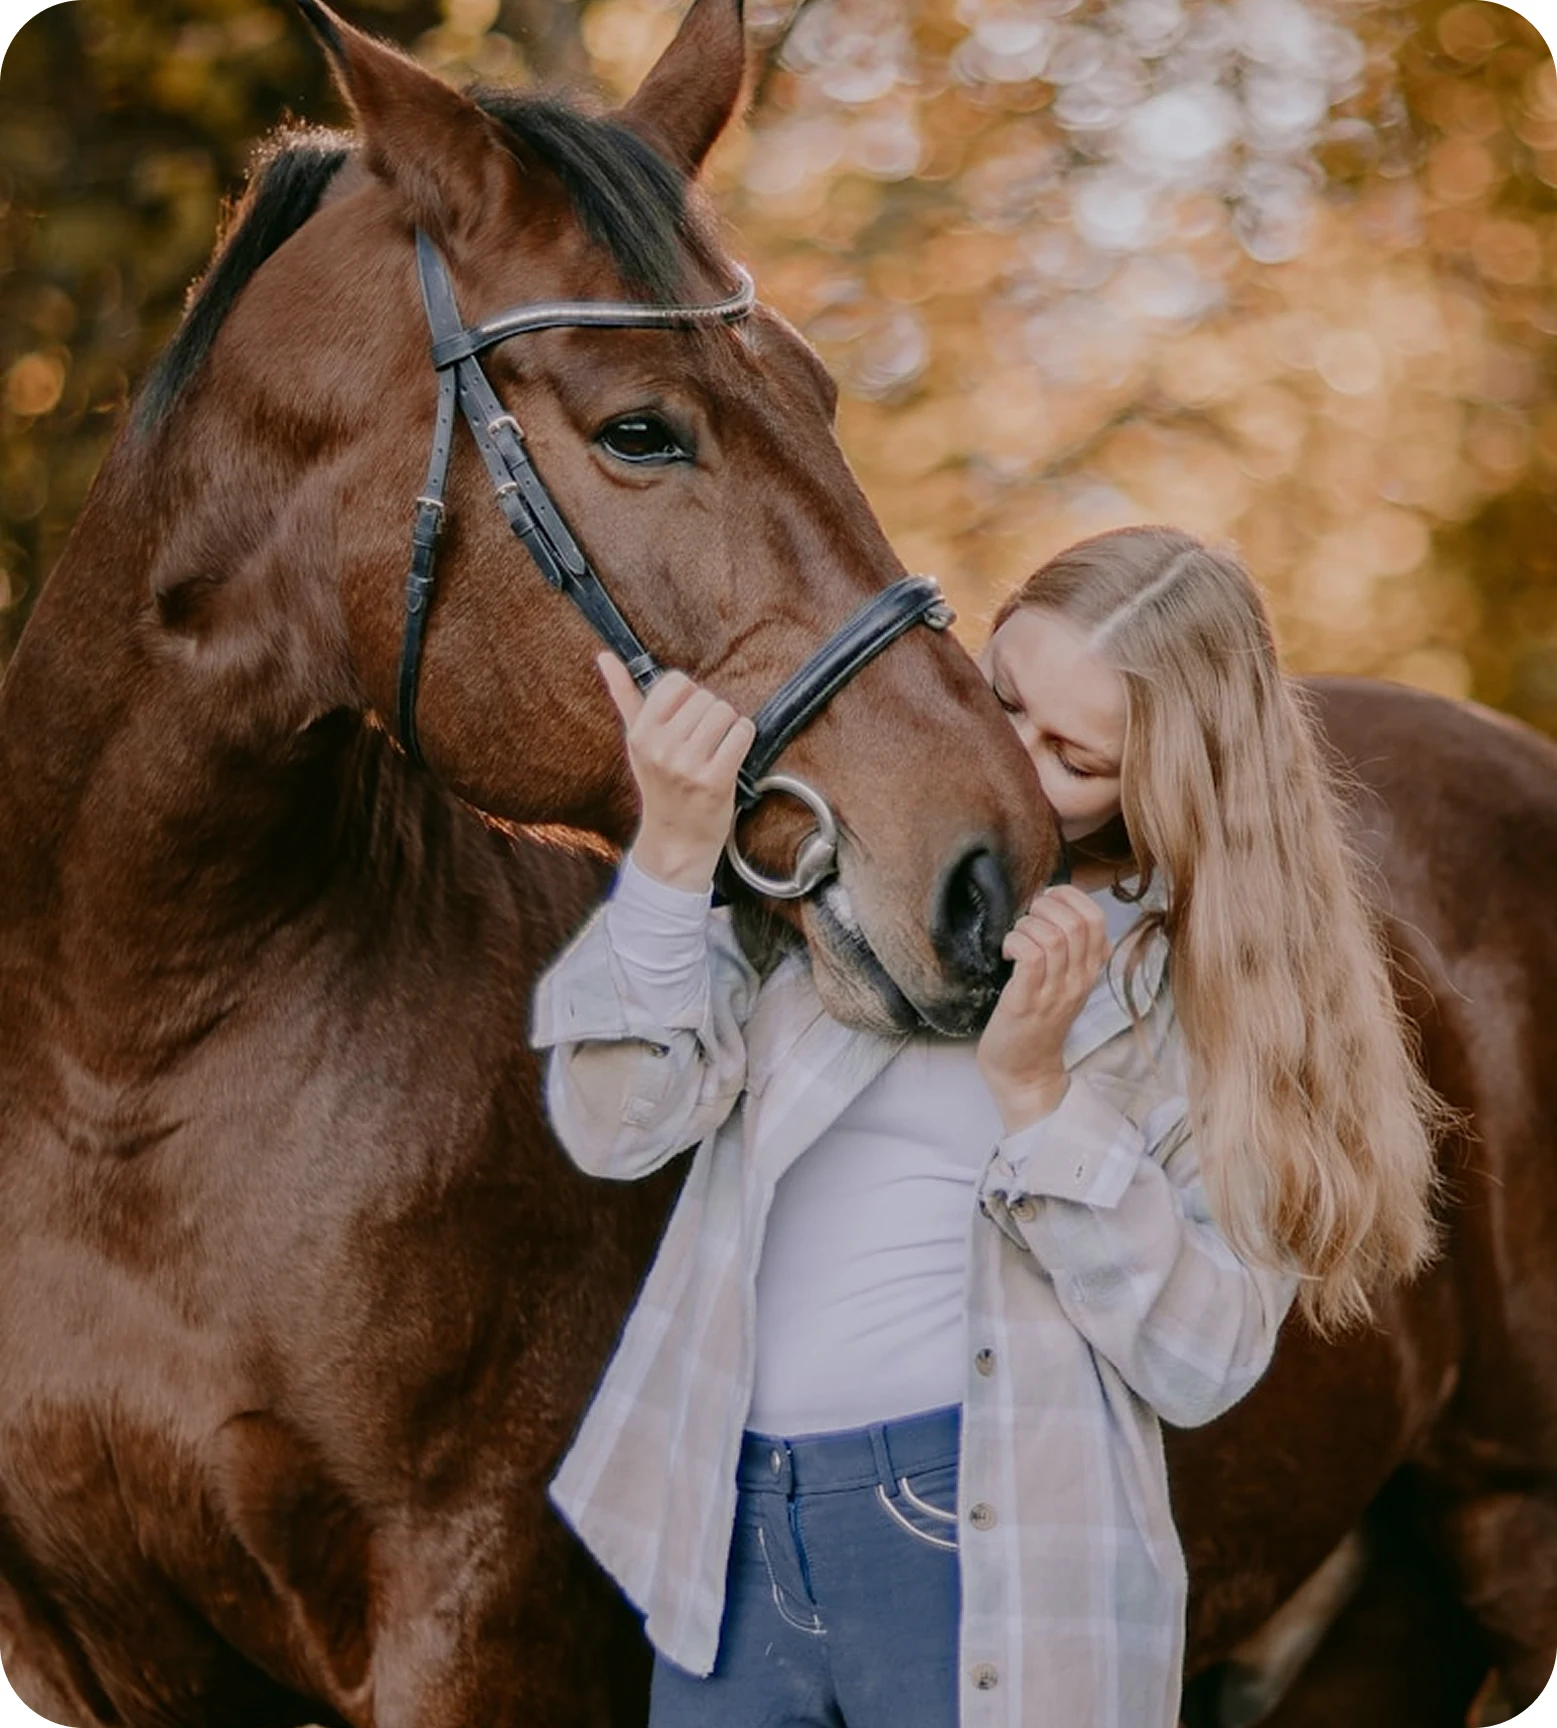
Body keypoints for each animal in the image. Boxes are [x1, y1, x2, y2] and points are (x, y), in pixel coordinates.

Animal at [2, 4, 1556, 1726]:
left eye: (814, 388)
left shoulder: (477, 1628)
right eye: (638, 430)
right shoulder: (101, 1652)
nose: (992, 867)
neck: (134, 1059)